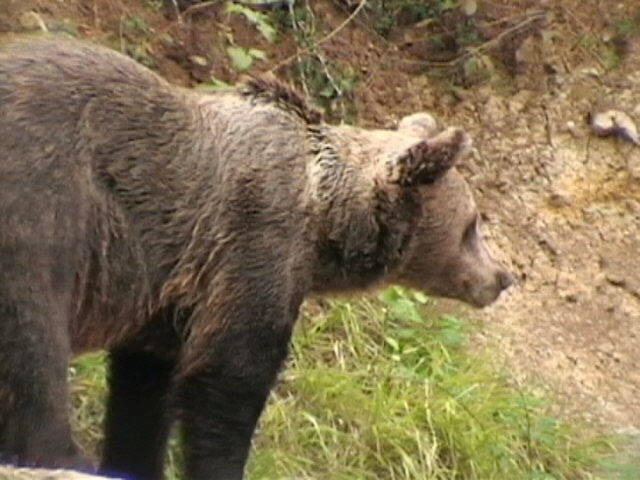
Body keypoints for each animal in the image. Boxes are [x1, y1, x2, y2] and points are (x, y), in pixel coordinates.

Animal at [0, 34, 510, 480]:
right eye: (473, 225)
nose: (503, 276)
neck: (325, 219)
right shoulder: (254, 240)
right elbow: (230, 375)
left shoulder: (170, 296)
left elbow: (145, 387)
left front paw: (135, 461)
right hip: (44, 204)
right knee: (36, 340)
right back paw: (63, 454)